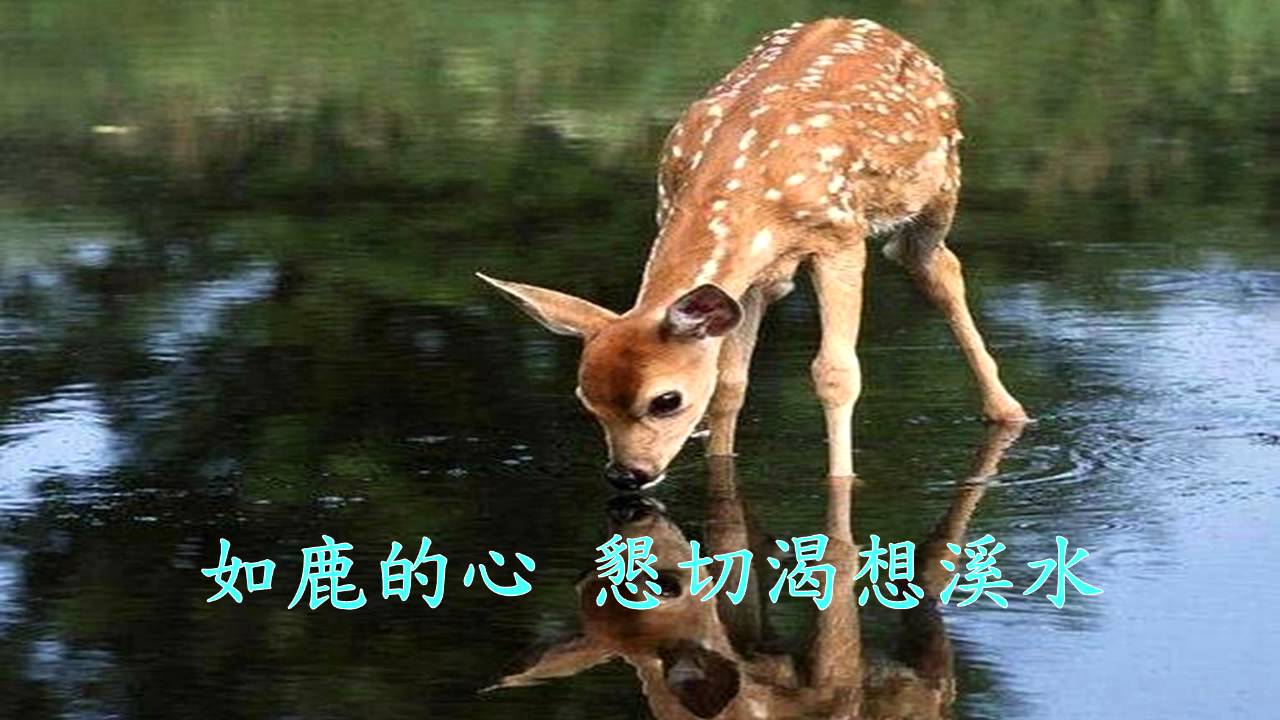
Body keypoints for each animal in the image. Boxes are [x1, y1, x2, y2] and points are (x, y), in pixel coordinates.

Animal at [478, 18, 1028, 491]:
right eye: (585, 399)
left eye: (666, 400)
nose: (627, 475)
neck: (747, 177)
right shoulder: (749, 277)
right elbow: (729, 384)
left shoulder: (839, 236)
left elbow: (836, 373)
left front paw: (842, 481)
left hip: (940, 184)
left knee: (935, 265)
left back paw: (1009, 411)